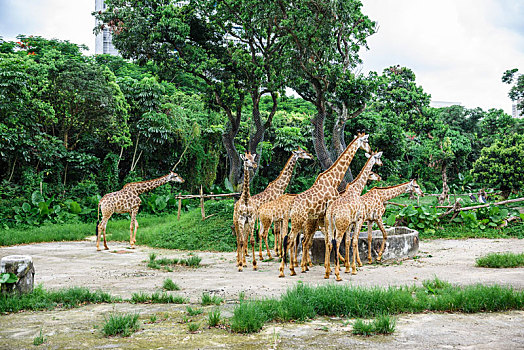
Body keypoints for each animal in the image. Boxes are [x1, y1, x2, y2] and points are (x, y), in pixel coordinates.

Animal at [278, 133, 372, 278]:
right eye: (366, 141)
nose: (370, 150)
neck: (333, 179)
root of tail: (291, 206)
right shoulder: (329, 211)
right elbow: (332, 241)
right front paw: (334, 269)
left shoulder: (325, 216)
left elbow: (328, 240)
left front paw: (329, 269)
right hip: (298, 221)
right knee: (290, 240)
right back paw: (289, 270)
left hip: (295, 222)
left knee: (290, 239)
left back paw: (293, 268)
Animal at [326, 151, 382, 282]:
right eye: (378, 158)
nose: (380, 177)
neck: (357, 190)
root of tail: (332, 212)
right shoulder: (358, 220)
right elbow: (355, 241)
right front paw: (354, 269)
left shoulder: (350, 224)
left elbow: (348, 241)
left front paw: (347, 268)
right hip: (339, 227)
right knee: (336, 242)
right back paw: (337, 274)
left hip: (330, 226)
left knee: (329, 243)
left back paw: (327, 272)